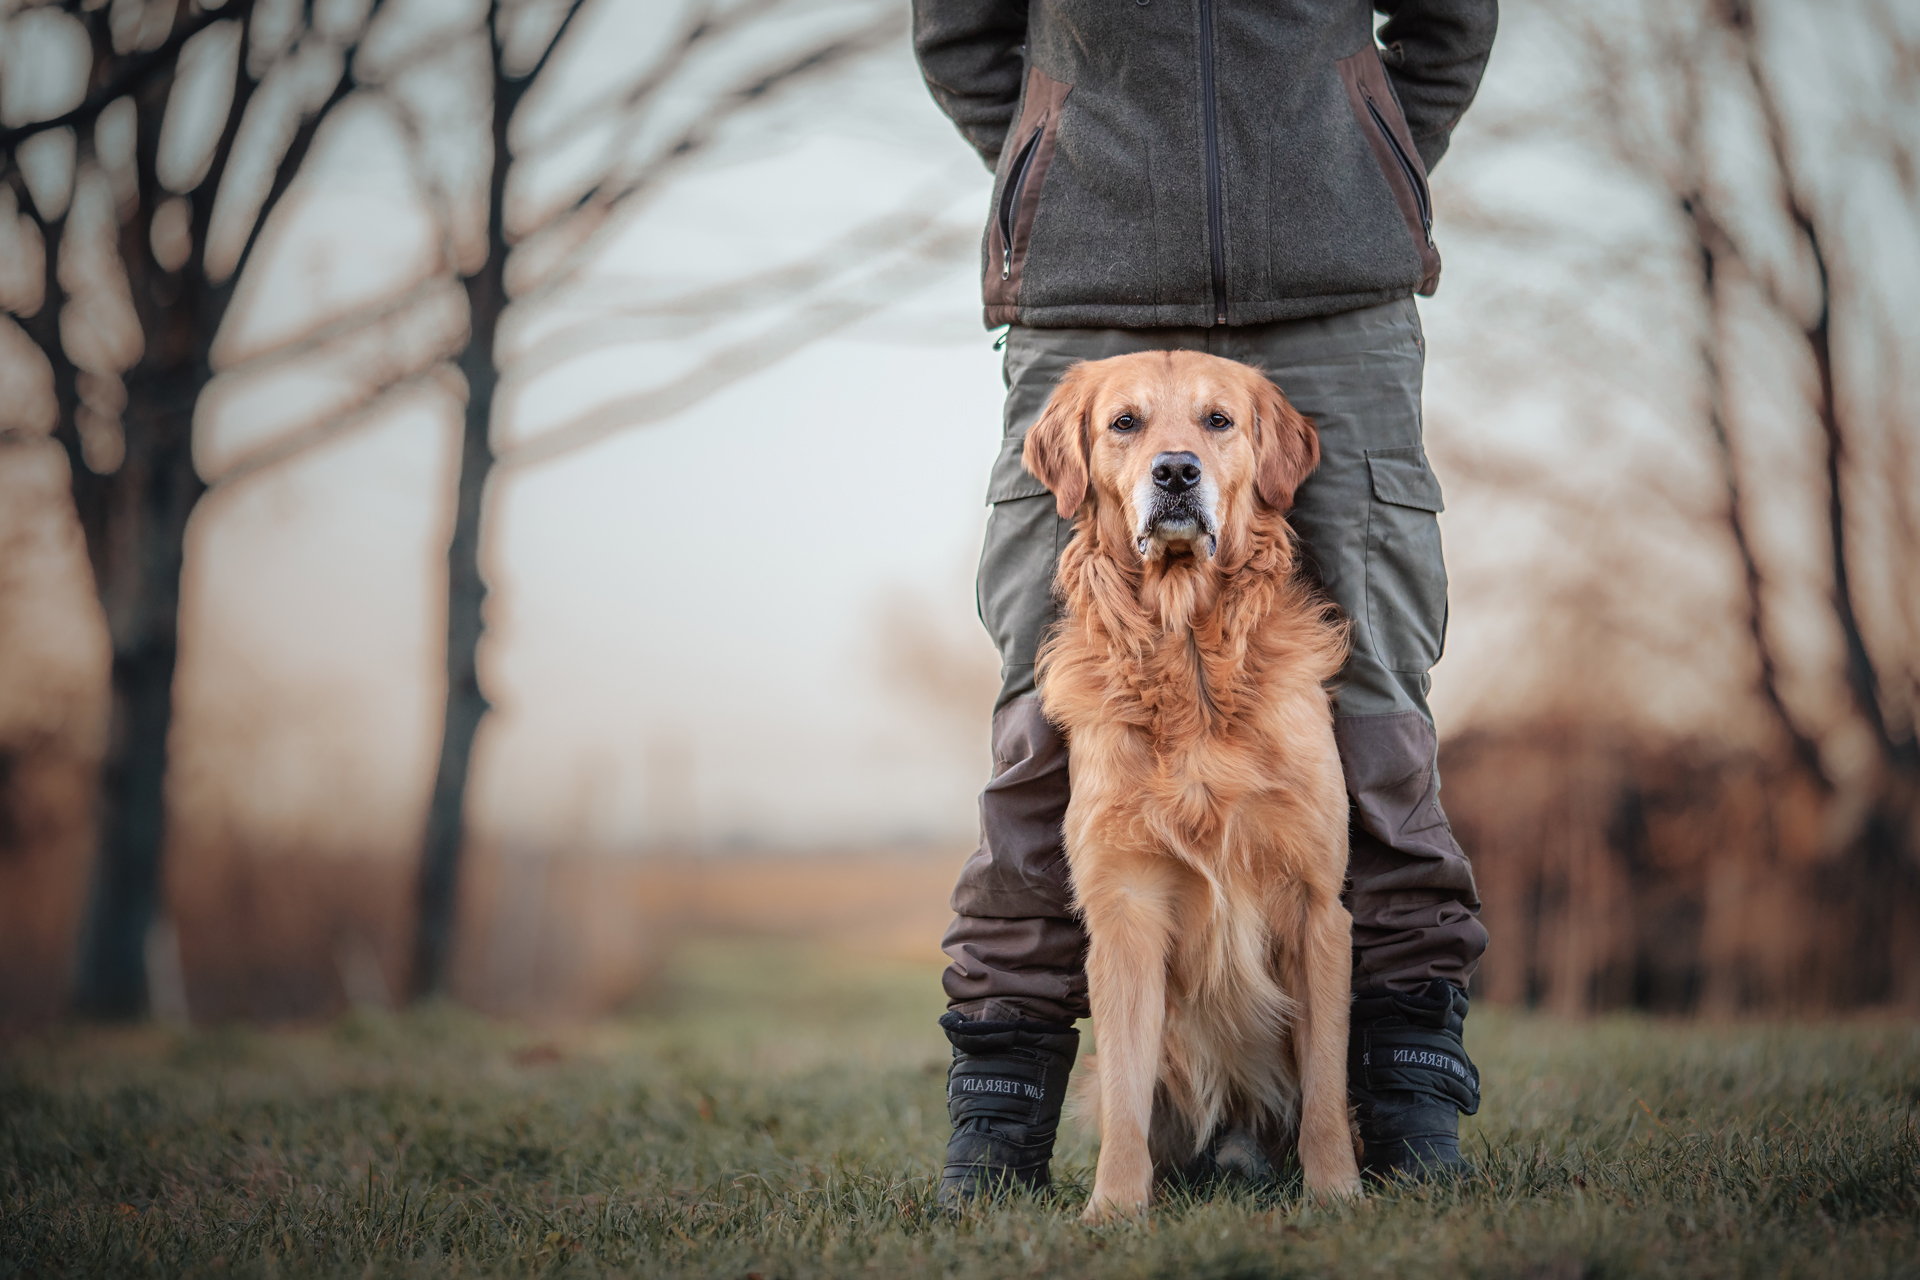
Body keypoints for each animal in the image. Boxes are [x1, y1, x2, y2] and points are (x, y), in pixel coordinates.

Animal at [1029, 351, 1359, 1220]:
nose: (1176, 473)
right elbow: (1126, 1092)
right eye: (1125, 423)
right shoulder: (1125, 907)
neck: (1189, 656)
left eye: (1218, 421)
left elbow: (1324, 1085)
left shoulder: (1316, 904)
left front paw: (1338, 1193)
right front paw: (1114, 1208)